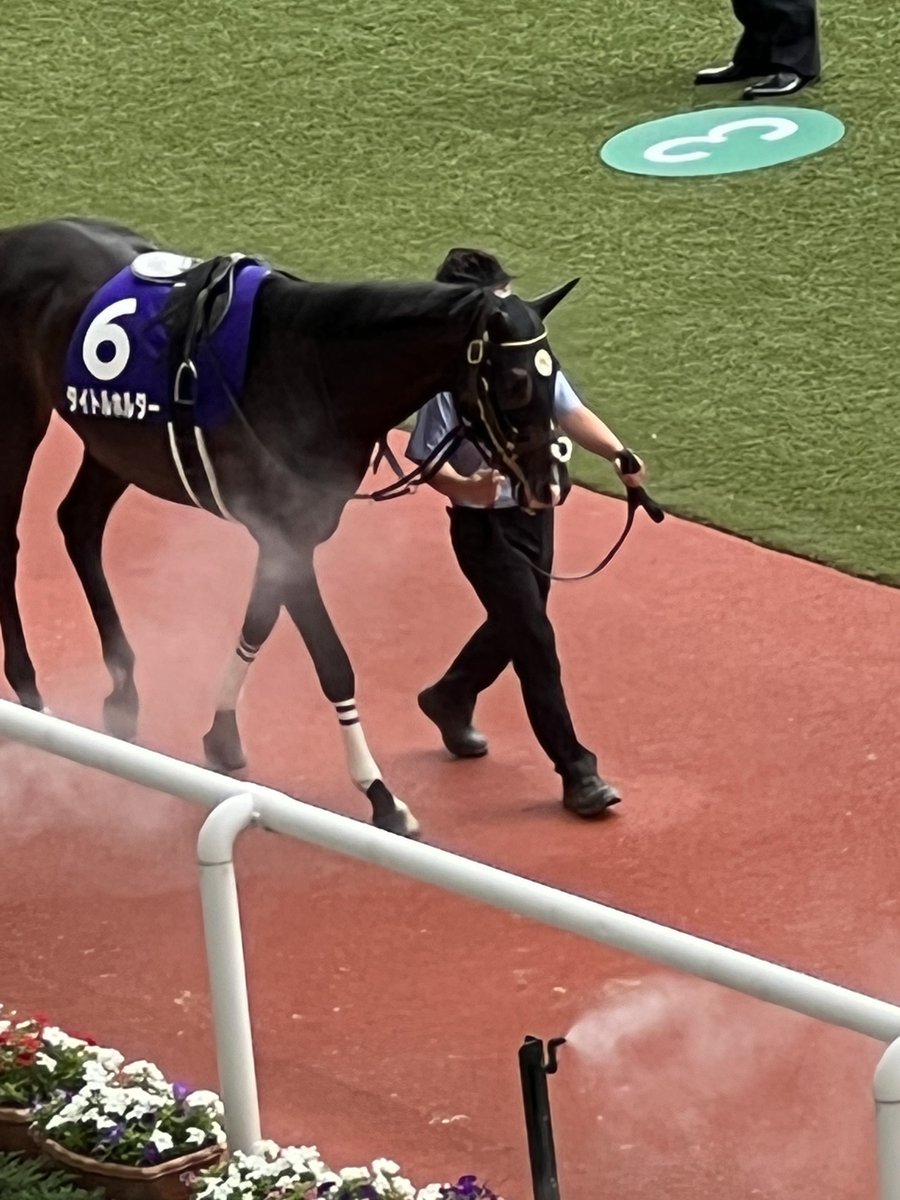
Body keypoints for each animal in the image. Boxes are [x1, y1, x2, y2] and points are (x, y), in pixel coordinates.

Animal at [0, 216, 579, 838]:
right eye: (516, 381)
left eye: (555, 377)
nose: (550, 484)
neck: (314, 373)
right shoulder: (286, 535)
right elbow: (334, 666)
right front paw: (380, 796)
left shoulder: (289, 534)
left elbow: (257, 623)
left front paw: (221, 734)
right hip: (20, 415)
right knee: (11, 540)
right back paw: (30, 690)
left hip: (115, 445)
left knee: (78, 522)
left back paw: (123, 690)